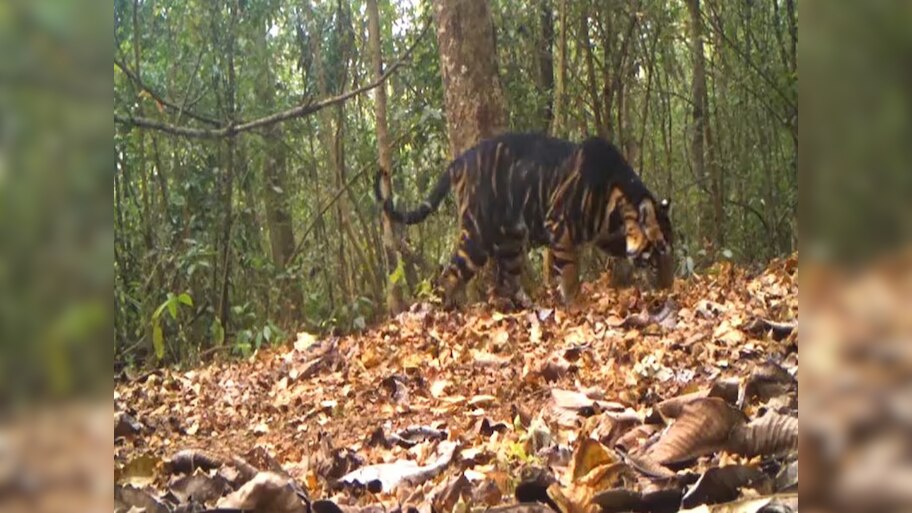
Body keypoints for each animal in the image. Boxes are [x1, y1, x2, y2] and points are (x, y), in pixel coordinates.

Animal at [376, 132, 673, 307]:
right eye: (658, 250)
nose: (669, 287)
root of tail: (458, 161)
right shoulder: (559, 225)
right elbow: (569, 272)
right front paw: (576, 305)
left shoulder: (605, 236)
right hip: (477, 238)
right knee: (449, 276)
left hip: (510, 242)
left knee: (505, 282)